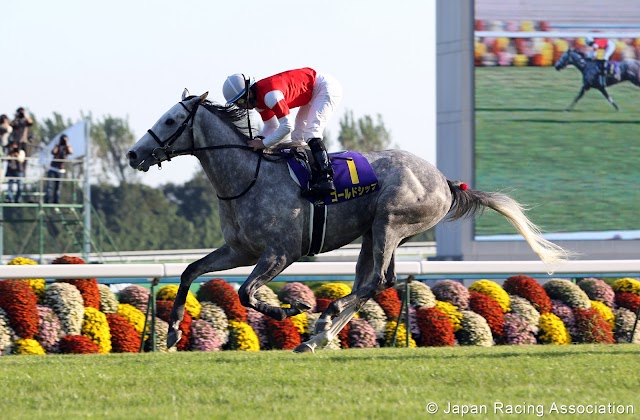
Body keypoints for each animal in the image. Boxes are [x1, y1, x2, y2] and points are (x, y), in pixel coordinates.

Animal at [127, 89, 568, 354]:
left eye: (170, 121)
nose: (133, 154)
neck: (247, 177)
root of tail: (444, 179)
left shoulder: (280, 253)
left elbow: (247, 293)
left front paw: (290, 310)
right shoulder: (240, 249)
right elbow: (190, 270)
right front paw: (172, 331)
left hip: (391, 222)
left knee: (375, 282)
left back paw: (323, 321)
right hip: (374, 234)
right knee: (374, 282)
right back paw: (320, 335)